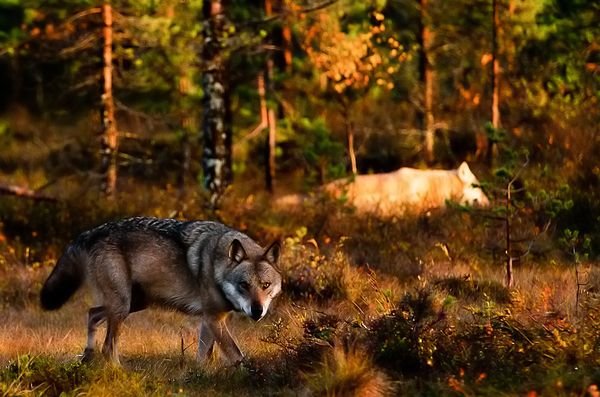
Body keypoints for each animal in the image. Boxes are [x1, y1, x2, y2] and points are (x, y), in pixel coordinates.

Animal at [41, 217, 282, 366]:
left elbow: (203, 357)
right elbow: (237, 355)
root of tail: (90, 232)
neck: (217, 263)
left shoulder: (210, 319)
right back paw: (120, 372)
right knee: (108, 347)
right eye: (244, 285)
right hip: (123, 307)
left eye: (265, 285)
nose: (257, 311)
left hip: (133, 304)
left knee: (92, 314)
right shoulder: (214, 318)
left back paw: (87, 357)